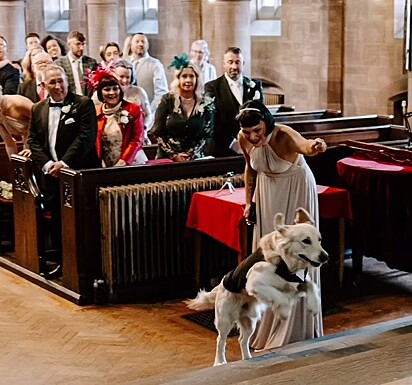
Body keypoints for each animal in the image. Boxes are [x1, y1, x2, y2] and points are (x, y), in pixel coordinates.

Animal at [186, 208, 328, 364]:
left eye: (319, 240)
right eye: (306, 241)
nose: (325, 256)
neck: (286, 264)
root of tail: (222, 283)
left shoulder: (299, 281)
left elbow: (311, 286)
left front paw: (314, 305)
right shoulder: (255, 283)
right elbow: (281, 297)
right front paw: (284, 311)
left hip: (250, 321)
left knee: (242, 340)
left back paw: (247, 358)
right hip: (225, 319)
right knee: (221, 341)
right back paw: (220, 362)